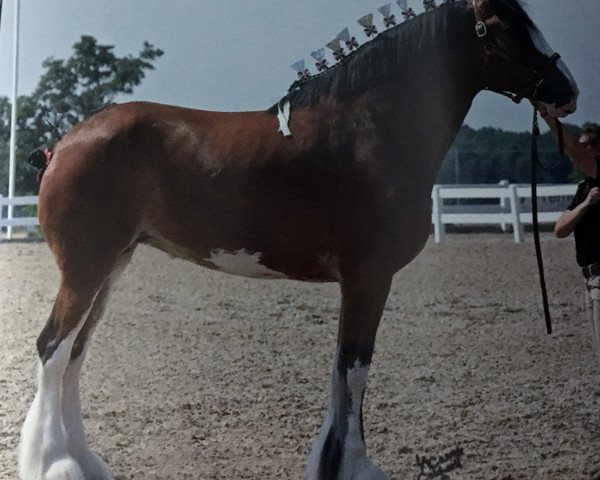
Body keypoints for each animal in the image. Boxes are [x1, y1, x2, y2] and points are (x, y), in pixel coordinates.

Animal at [21, 0, 580, 480]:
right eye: (505, 26)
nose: (567, 89)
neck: (372, 130)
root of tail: (64, 143)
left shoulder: (360, 282)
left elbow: (342, 372)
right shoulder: (368, 278)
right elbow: (354, 369)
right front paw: (349, 468)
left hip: (111, 267)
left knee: (73, 355)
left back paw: (84, 464)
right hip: (85, 270)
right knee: (53, 348)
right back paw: (57, 465)